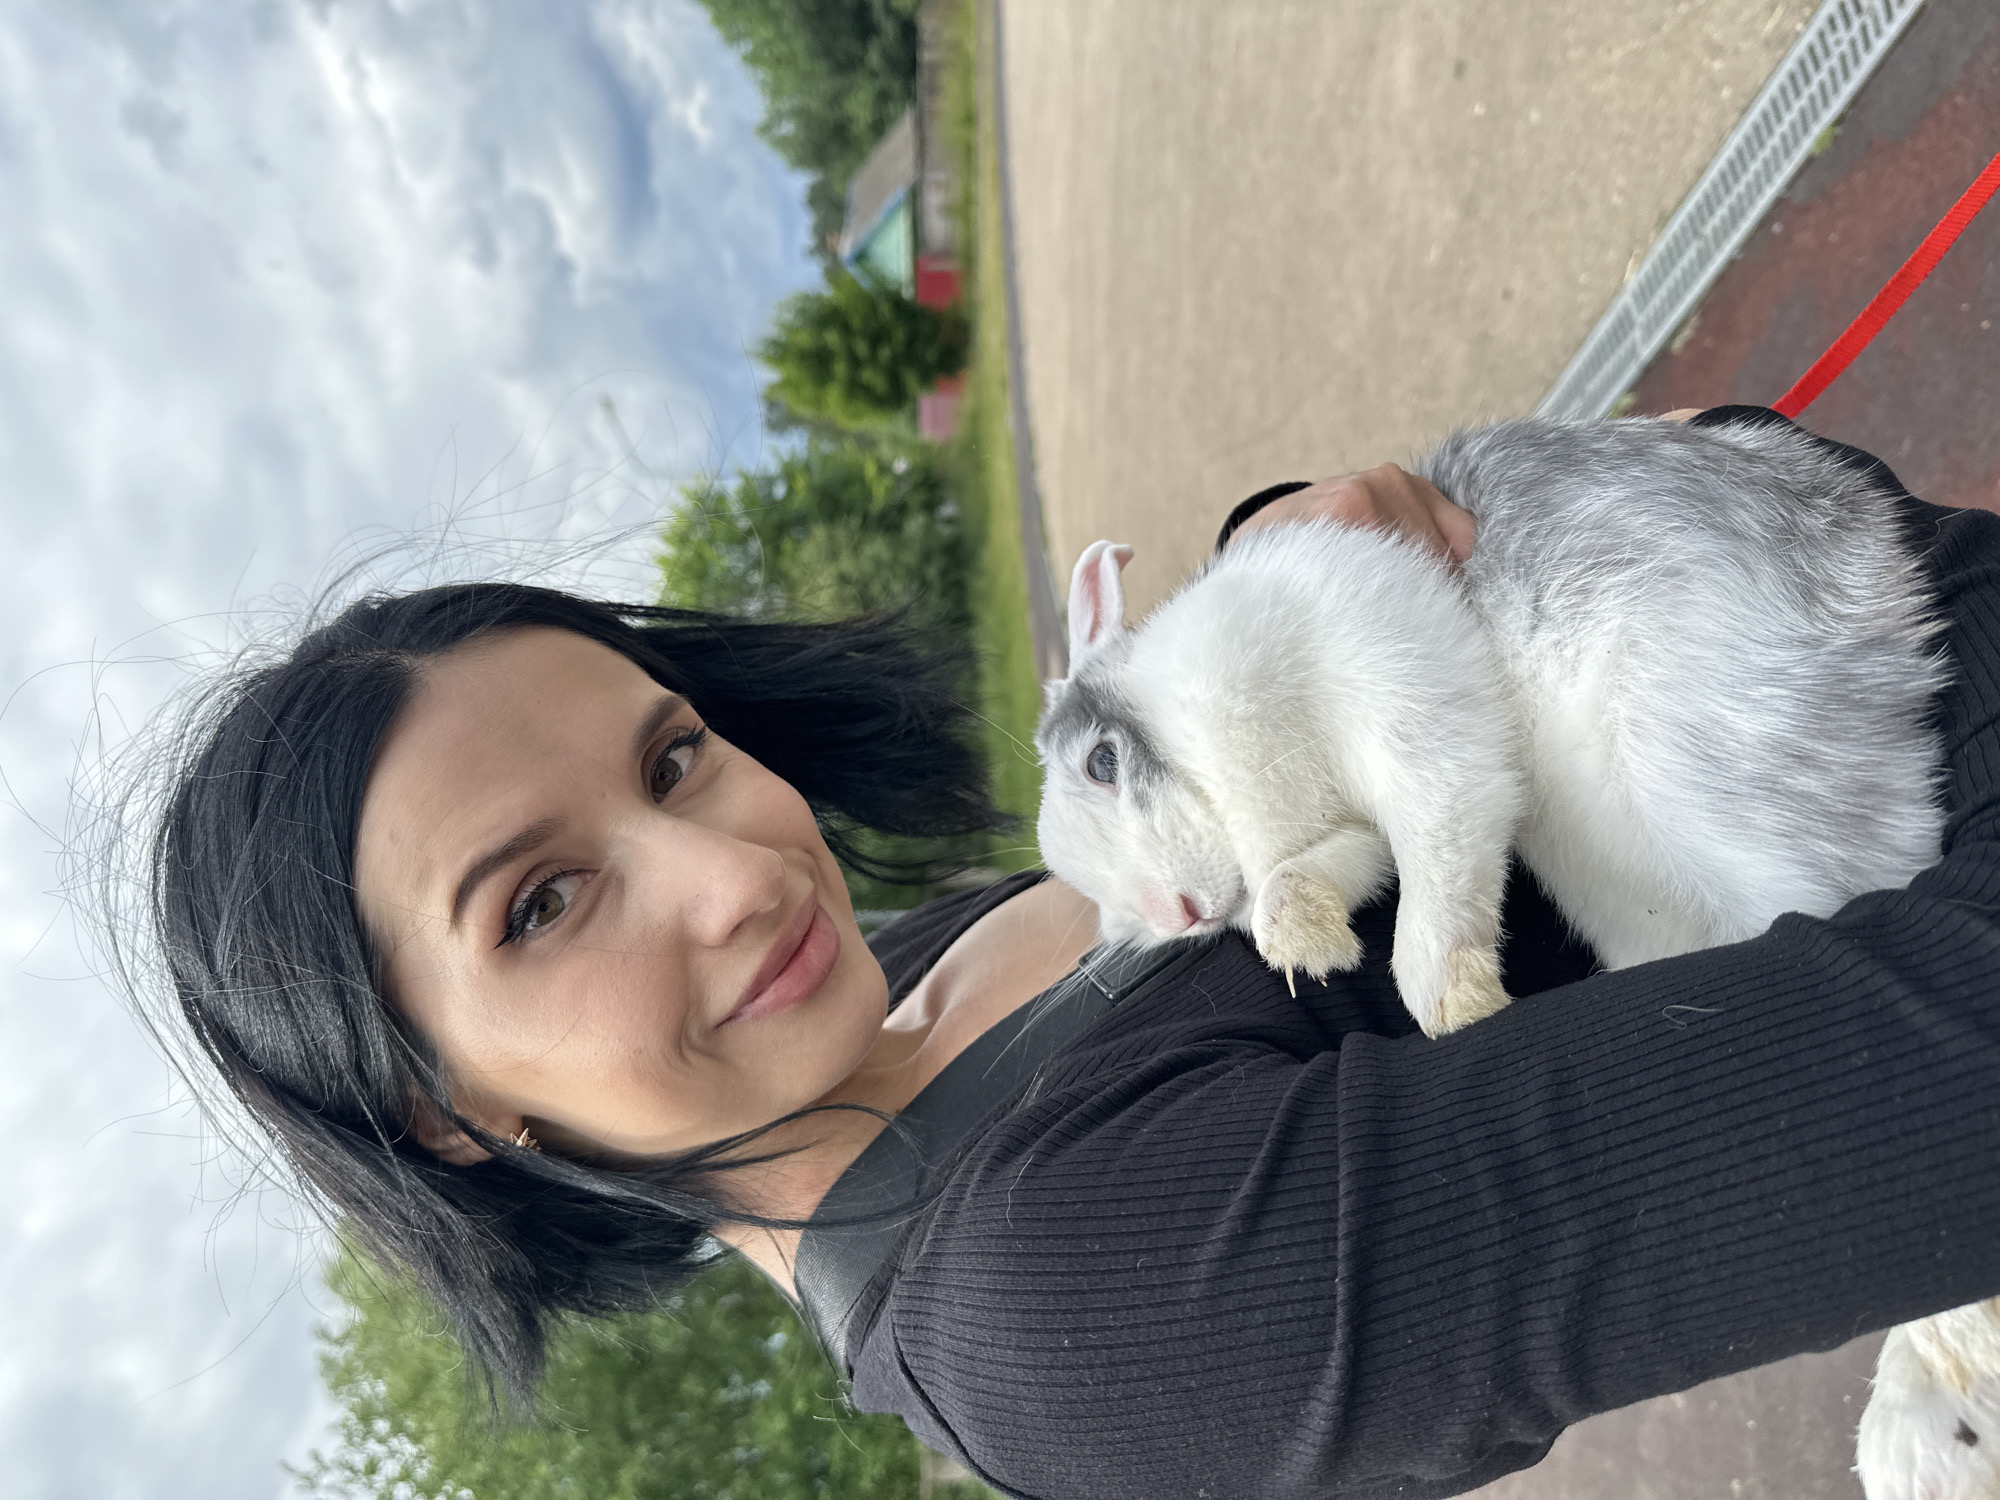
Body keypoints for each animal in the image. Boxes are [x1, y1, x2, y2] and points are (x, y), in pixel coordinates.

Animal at [1034, 413, 1961, 1500]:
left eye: (1102, 761)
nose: (1173, 912)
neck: (1224, 774)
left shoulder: (1399, 694)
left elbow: (1439, 855)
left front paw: (1457, 1004)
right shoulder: (1347, 835)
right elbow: (1327, 878)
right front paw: (1306, 944)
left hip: (1718, 777)